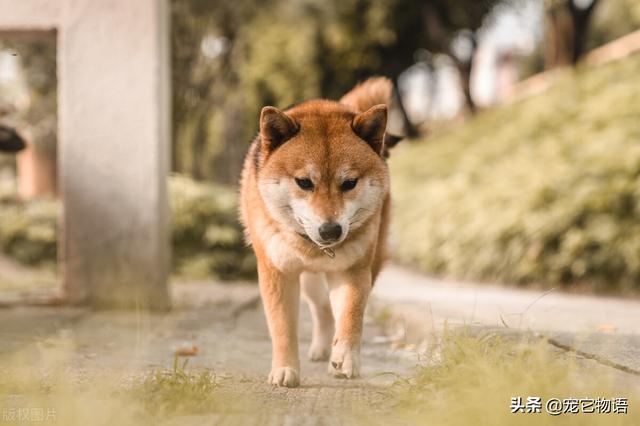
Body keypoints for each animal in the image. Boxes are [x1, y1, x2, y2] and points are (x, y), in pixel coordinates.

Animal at [241, 76, 400, 386]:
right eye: (304, 182)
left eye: (349, 183)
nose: (330, 230)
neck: (316, 250)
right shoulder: (277, 273)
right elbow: (282, 327)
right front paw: (285, 369)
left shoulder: (353, 270)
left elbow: (351, 314)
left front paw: (346, 356)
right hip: (309, 283)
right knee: (322, 310)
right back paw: (320, 349)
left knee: (332, 312)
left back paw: (331, 354)